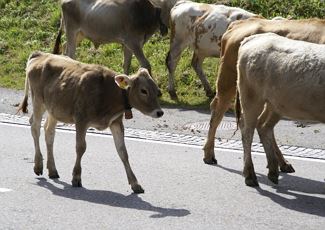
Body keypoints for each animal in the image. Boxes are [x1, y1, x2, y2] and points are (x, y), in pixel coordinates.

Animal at [19, 51, 163, 193]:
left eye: (157, 91)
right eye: (143, 90)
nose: (160, 112)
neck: (109, 92)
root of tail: (41, 54)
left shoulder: (116, 122)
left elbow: (123, 152)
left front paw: (135, 183)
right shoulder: (81, 119)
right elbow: (80, 147)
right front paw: (76, 177)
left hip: (54, 109)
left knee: (49, 132)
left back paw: (53, 170)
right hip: (38, 100)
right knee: (35, 127)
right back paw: (38, 165)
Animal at [202, 17, 324, 172]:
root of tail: (239, 24)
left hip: (269, 98)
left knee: (262, 124)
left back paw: (281, 163)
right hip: (229, 81)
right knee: (218, 111)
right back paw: (209, 154)